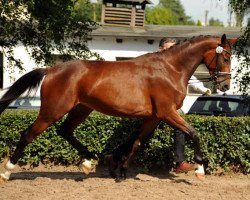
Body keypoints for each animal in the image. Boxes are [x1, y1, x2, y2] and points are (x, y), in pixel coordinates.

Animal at [0, 34, 237, 183]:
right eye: (225, 56)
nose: (225, 86)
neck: (170, 69)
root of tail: (51, 69)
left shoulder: (154, 116)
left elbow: (137, 142)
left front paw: (121, 172)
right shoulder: (167, 112)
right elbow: (194, 134)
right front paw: (200, 168)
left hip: (81, 109)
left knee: (65, 131)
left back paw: (88, 162)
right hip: (52, 110)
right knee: (28, 134)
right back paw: (7, 172)